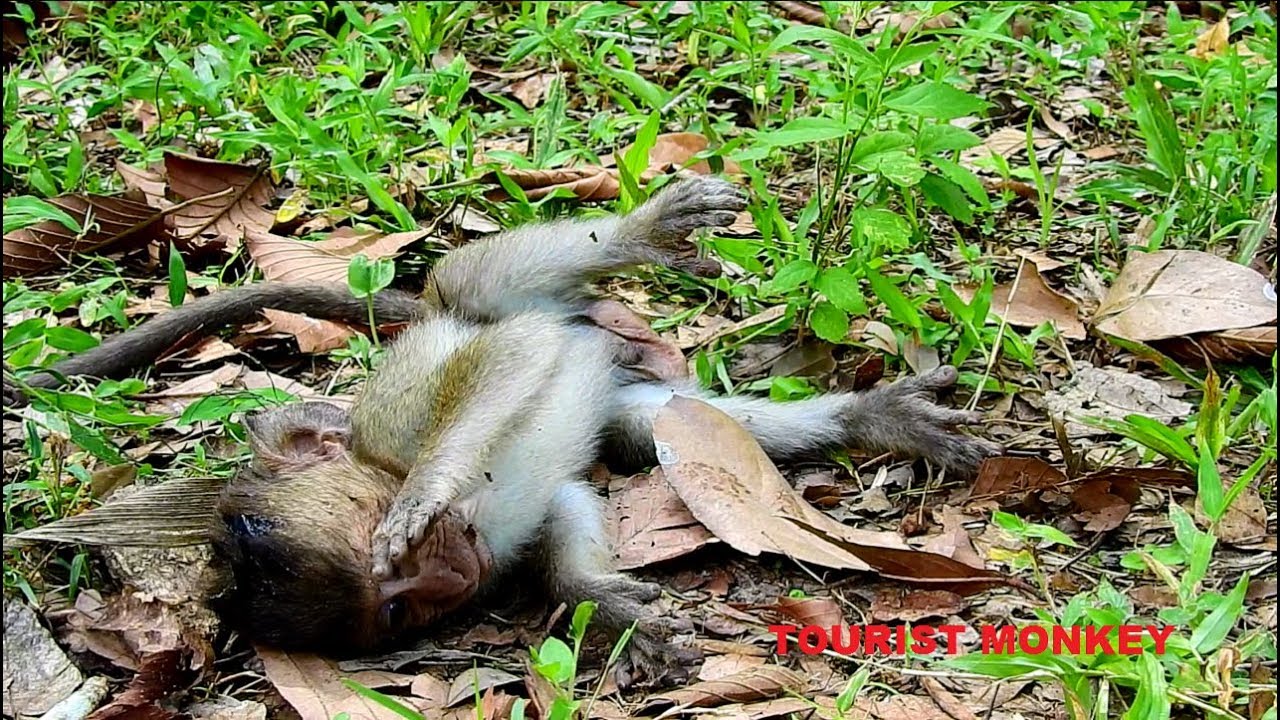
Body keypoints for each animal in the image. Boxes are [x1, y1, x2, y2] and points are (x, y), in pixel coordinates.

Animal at [4, 175, 1000, 684]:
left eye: (406, 561)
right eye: (401, 611)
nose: (455, 579)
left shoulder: (404, 427)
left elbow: (506, 361)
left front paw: (428, 487)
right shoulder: (506, 536)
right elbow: (562, 512)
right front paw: (603, 605)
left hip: (477, 299)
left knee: (492, 298)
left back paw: (636, 233)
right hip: (628, 394)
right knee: (664, 424)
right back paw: (875, 417)